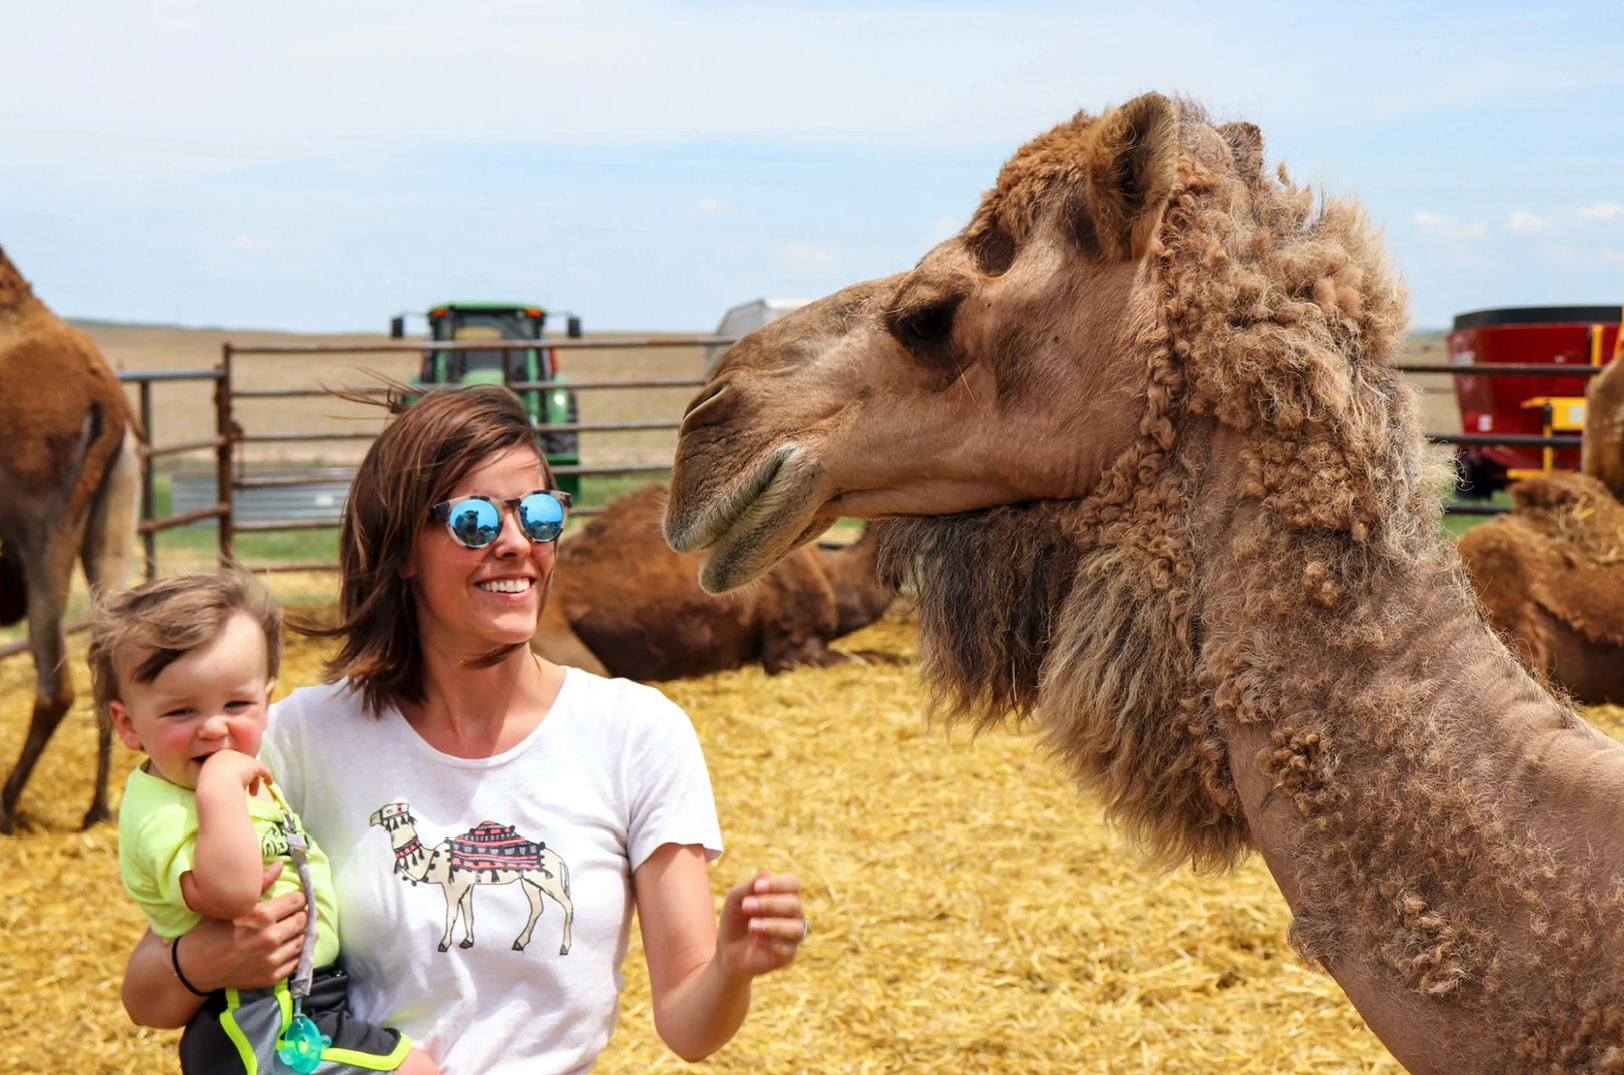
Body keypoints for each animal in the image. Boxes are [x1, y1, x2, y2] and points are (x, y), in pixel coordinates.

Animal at [369, 802, 574, 955]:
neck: (431, 860)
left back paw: (564, 947)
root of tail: (560, 860)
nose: (371, 819)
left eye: (388, 811)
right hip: (530, 882)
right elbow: (468, 913)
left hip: (550, 881)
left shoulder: (452, 886)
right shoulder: (466, 885)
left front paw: (444, 944)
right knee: (537, 907)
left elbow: (450, 916)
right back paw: (519, 942)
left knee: (567, 905)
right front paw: (467, 941)